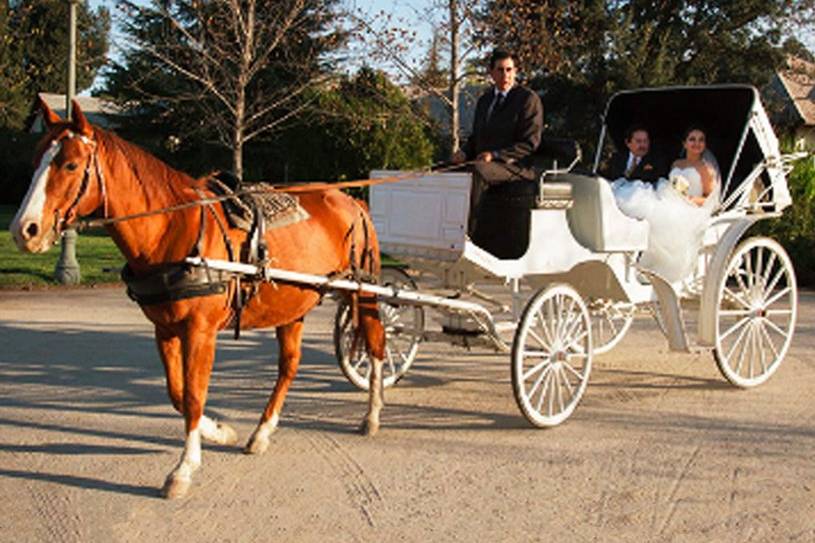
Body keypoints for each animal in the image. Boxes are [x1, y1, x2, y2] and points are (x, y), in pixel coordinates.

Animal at [10, 100, 388, 500]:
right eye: (35, 159)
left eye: (70, 164)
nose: (24, 230)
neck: (171, 228)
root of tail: (352, 200)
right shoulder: (164, 330)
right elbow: (177, 393)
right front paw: (218, 431)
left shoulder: (200, 331)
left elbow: (193, 394)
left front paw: (184, 468)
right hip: (292, 304)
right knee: (289, 366)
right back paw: (262, 431)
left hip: (364, 292)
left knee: (376, 345)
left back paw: (372, 414)